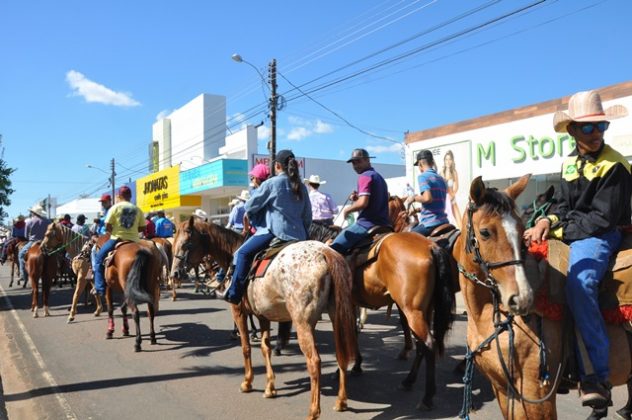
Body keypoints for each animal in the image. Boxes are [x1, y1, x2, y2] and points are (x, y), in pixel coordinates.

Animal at [170, 217, 357, 420]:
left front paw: (247, 382)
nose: (174, 274)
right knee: (341, 354)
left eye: (187, 244)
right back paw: (341, 401)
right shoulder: (263, 316)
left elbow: (246, 347)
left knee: (314, 361)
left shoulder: (238, 311)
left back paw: (313, 411)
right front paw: (270, 387)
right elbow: (265, 347)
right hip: (336, 316)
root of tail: (325, 252)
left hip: (303, 323)